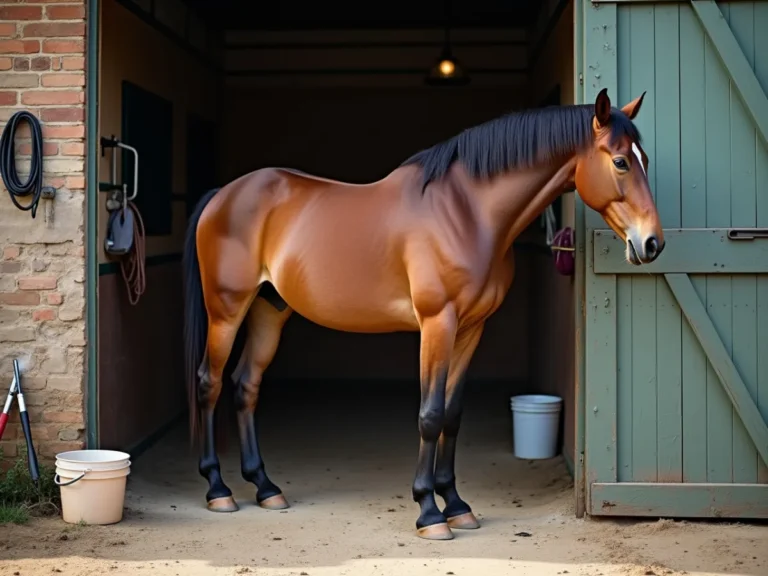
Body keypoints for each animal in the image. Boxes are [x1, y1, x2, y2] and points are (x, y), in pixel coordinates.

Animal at [182, 88, 664, 541]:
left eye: (642, 159)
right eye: (621, 162)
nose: (653, 243)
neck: (466, 214)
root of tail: (223, 195)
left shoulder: (471, 329)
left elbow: (452, 413)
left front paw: (457, 505)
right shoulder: (438, 324)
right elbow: (430, 415)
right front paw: (429, 512)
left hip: (269, 309)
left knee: (246, 385)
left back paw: (265, 488)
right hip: (227, 309)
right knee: (209, 382)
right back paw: (218, 490)